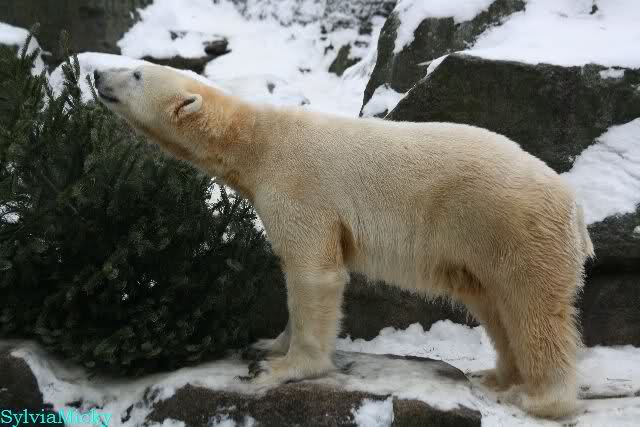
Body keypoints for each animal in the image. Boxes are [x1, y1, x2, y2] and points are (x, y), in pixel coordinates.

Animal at [94, 64, 594, 418]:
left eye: (136, 72)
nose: (97, 74)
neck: (260, 139)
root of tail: (574, 206)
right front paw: (268, 345)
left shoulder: (300, 186)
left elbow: (314, 274)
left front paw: (282, 368)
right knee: (494, 306)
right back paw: (497, 377)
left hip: (513, 229)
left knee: (532, 311)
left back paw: (538, 399)